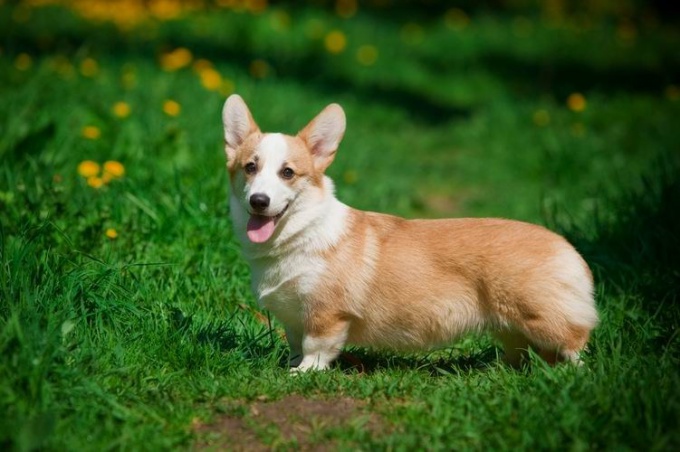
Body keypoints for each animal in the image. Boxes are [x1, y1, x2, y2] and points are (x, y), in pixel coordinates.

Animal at [220, 94, 596, 370]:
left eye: (287, 172)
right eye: (250, 167)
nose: (258, 201)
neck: (298, 235)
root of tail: (567, 247)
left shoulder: (326, 314)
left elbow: (316, 348)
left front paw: (303, 373)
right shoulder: (294, 317)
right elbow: (297, 344)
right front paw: (291, 366)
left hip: (543, 319)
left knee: (574, 342)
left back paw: (575, 375)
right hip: (511, 327)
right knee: (524, 352)